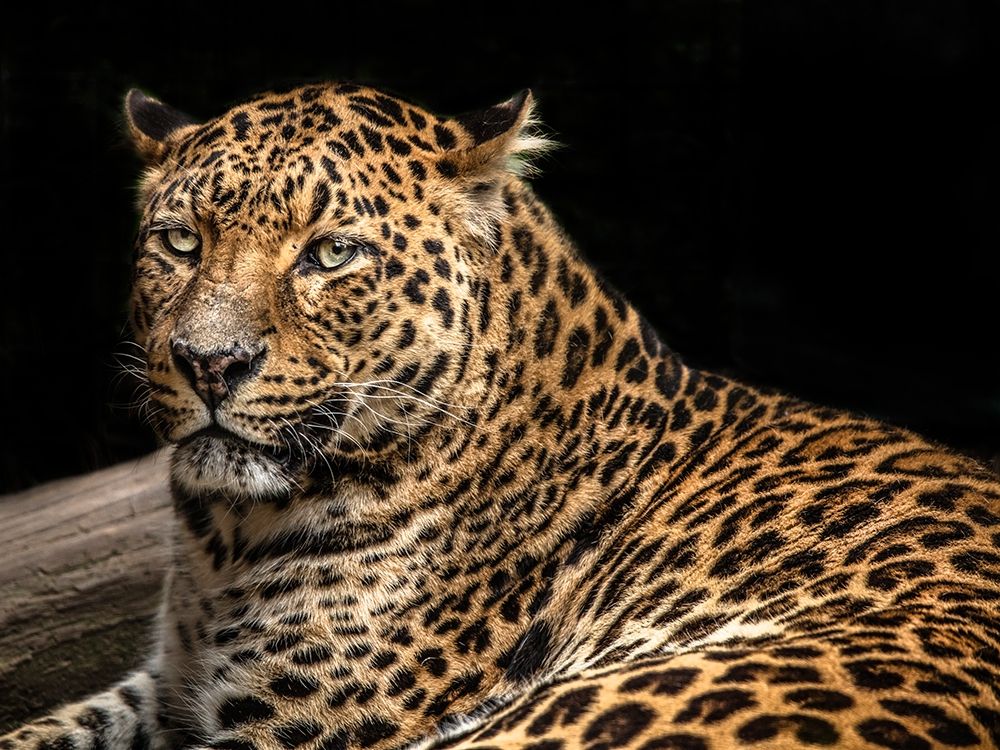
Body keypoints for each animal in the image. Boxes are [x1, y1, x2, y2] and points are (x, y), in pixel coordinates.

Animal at [3, 81, 999, 750]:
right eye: (180, 241)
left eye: (332, 254)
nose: (210, 363)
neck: (229, 539)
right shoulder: (165, 687)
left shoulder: (285, 730)